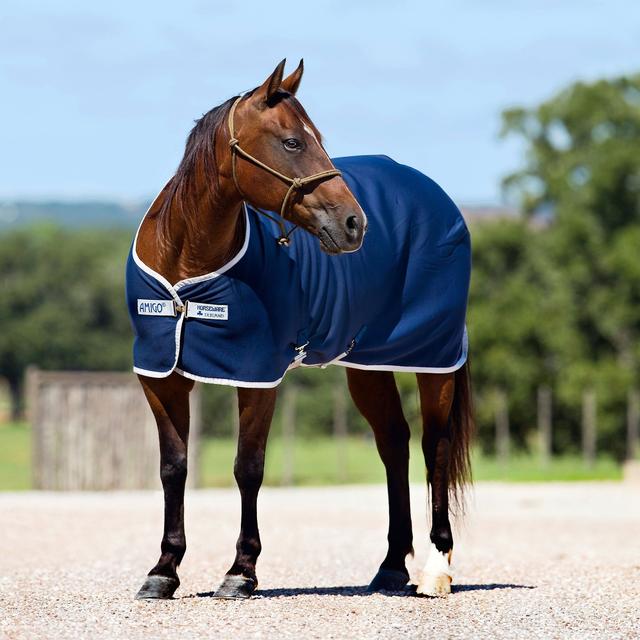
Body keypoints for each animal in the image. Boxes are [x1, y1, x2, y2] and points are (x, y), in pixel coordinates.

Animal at [127, 59, 473, 600]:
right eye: (292, 142)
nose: (355, 223)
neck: (186, 260)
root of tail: (436, 196)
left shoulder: (256, 373)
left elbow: (248, 466)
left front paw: (240, 571)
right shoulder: (160, 375)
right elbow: (173, 467)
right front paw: (164, 569)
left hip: (433, 358)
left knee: (433, 447)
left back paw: (436, 568)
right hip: (368, 365)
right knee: (393, 443)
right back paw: (391, 566)